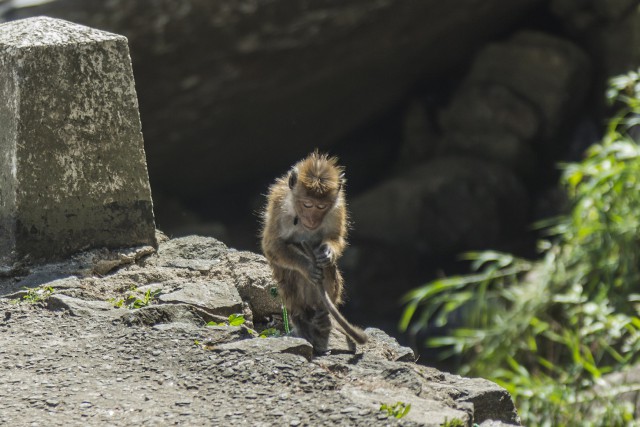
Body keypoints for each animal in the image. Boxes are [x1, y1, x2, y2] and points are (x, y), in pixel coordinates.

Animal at [262, 150, 370, 354]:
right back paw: (302, 321)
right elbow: (272, 246)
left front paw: (327, 252)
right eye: (307, 204)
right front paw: (307, 267)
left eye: (321, 207)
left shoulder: (338, 207)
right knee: (290, 274)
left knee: (327, 269)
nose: (312, 220)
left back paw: (323, 318)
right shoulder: (278, 203)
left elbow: (335, 238)